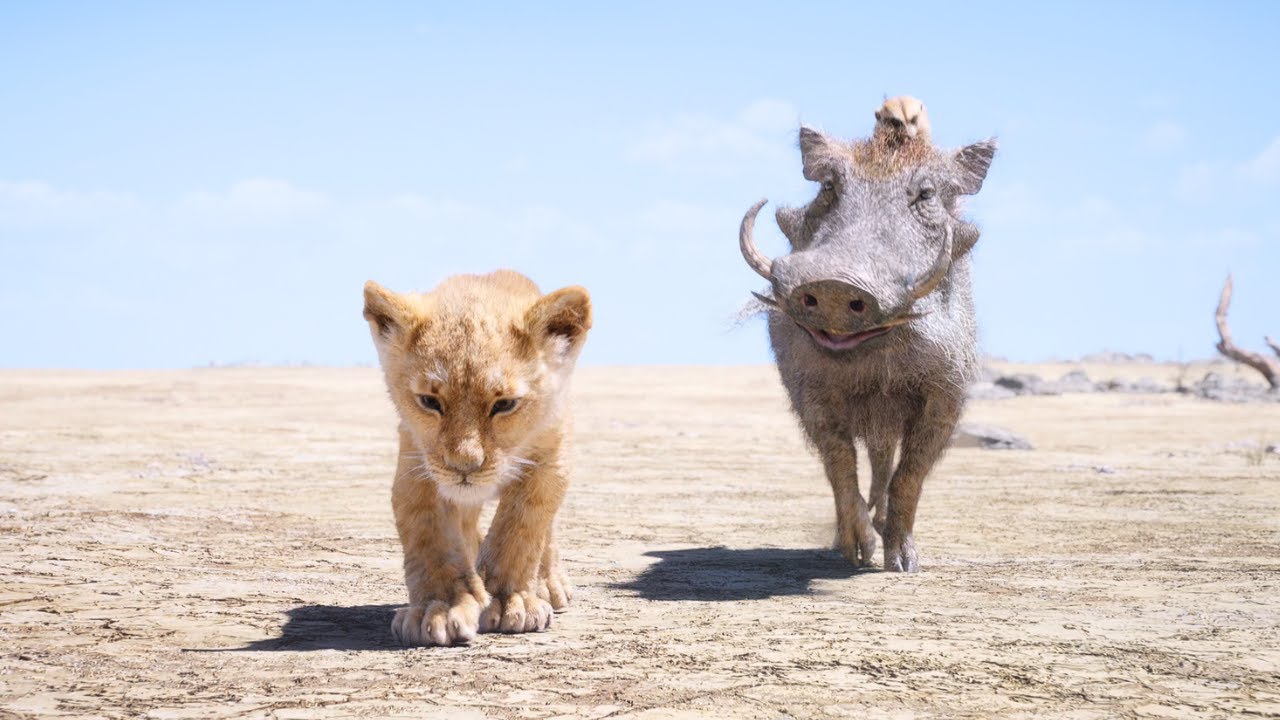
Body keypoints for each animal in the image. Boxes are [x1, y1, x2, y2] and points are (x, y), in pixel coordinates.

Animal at [363, 270, 592, 646]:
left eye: (505, 404)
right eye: (429, 401)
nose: (464, 466)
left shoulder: (550, 460)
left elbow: (520, 529)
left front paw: (508, 600)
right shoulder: (419, 465)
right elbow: (431, 537)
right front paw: (440, 608)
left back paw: (549, 584)